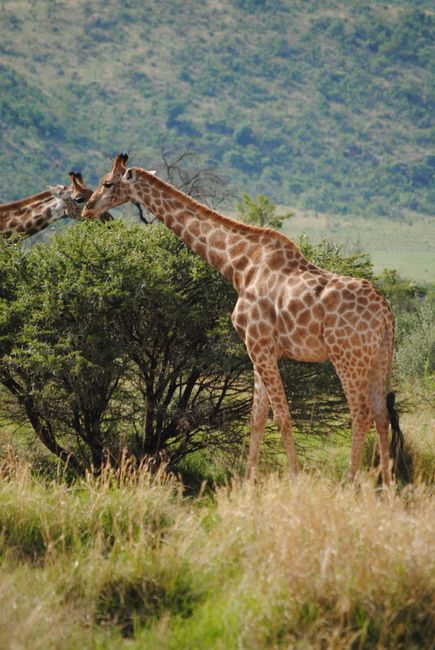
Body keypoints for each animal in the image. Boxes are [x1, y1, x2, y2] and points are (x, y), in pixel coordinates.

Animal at [83, 153, 404, 486]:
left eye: (107, 183)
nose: (87, 208)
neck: (238, 266)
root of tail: (386, 312)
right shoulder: (257, 349)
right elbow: (257, 417)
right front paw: (249, 482)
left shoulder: (259, 345)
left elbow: (283, 416)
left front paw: (295, 479)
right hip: (377, 357)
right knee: (382, 414)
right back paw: (387, 485)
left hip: (347, 356)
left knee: (361, 413)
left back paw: (352, 481)